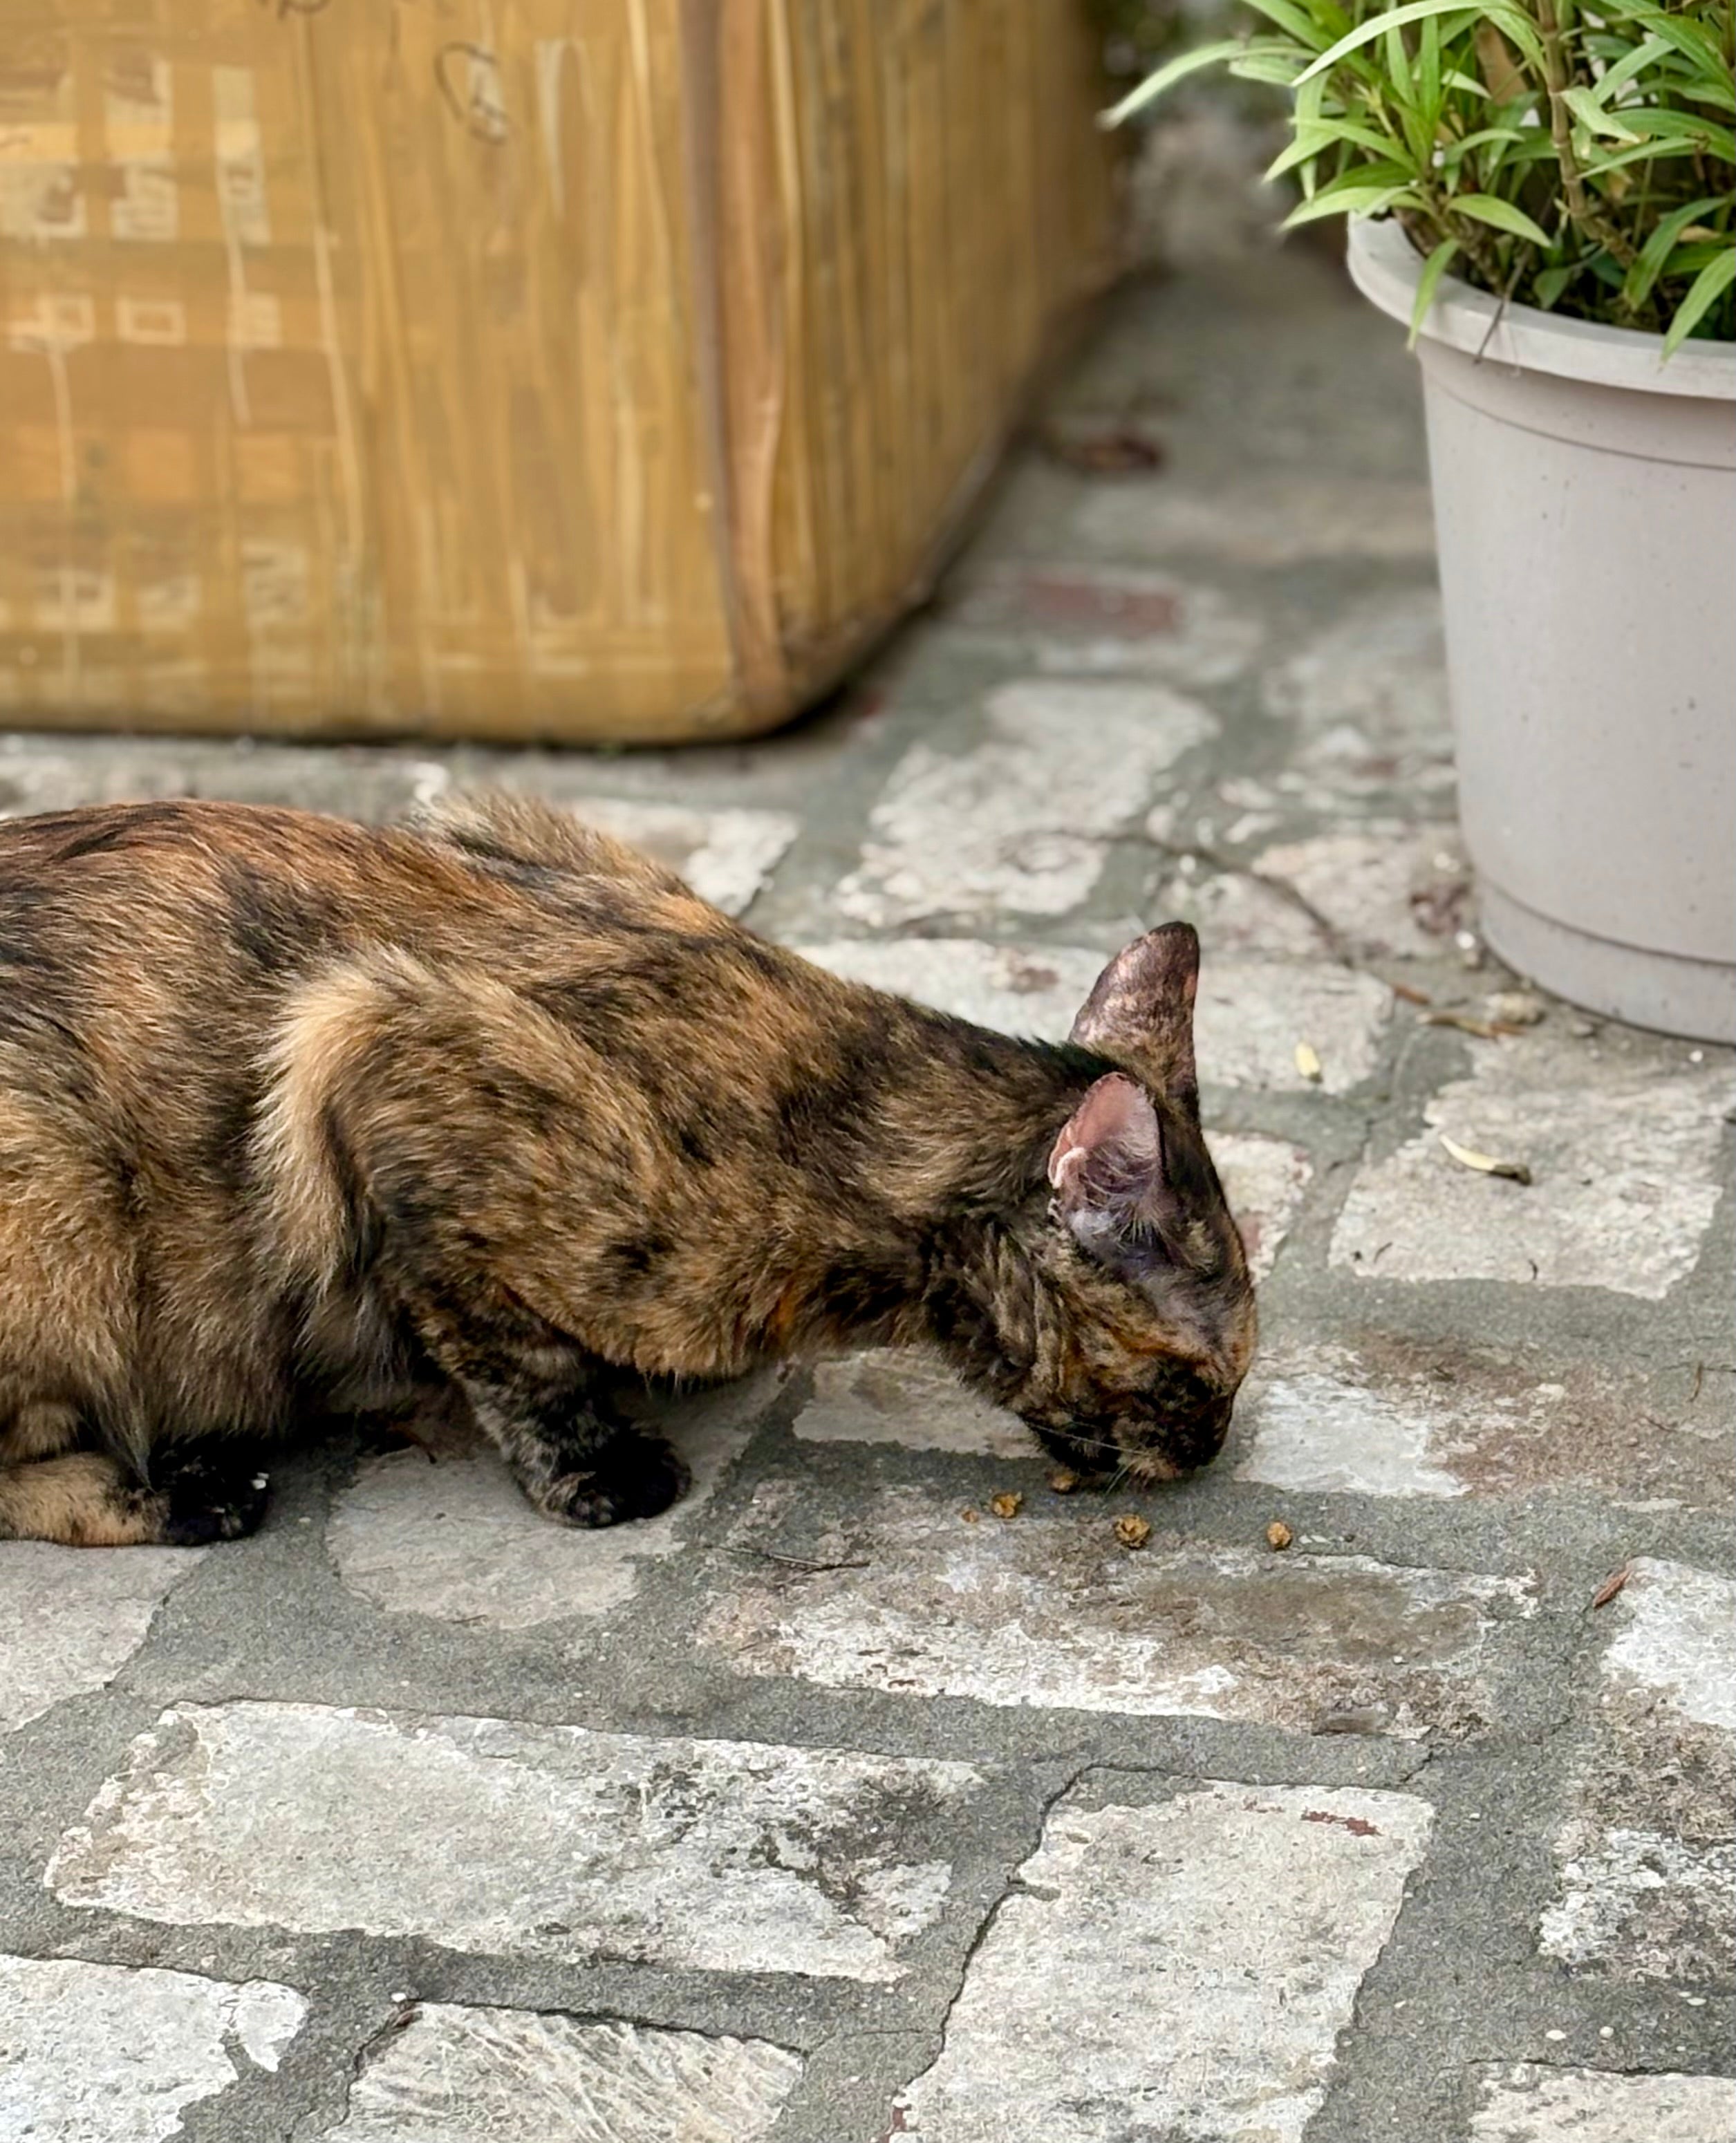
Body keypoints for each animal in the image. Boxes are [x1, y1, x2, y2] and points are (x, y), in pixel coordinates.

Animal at [0, 792, 1255, 1546]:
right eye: (1196, 1379)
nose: (1210, 1453)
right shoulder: (365, 1050)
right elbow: (512, 1350)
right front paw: (592, 1466)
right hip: (61, 1216)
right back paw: (182, 1489)